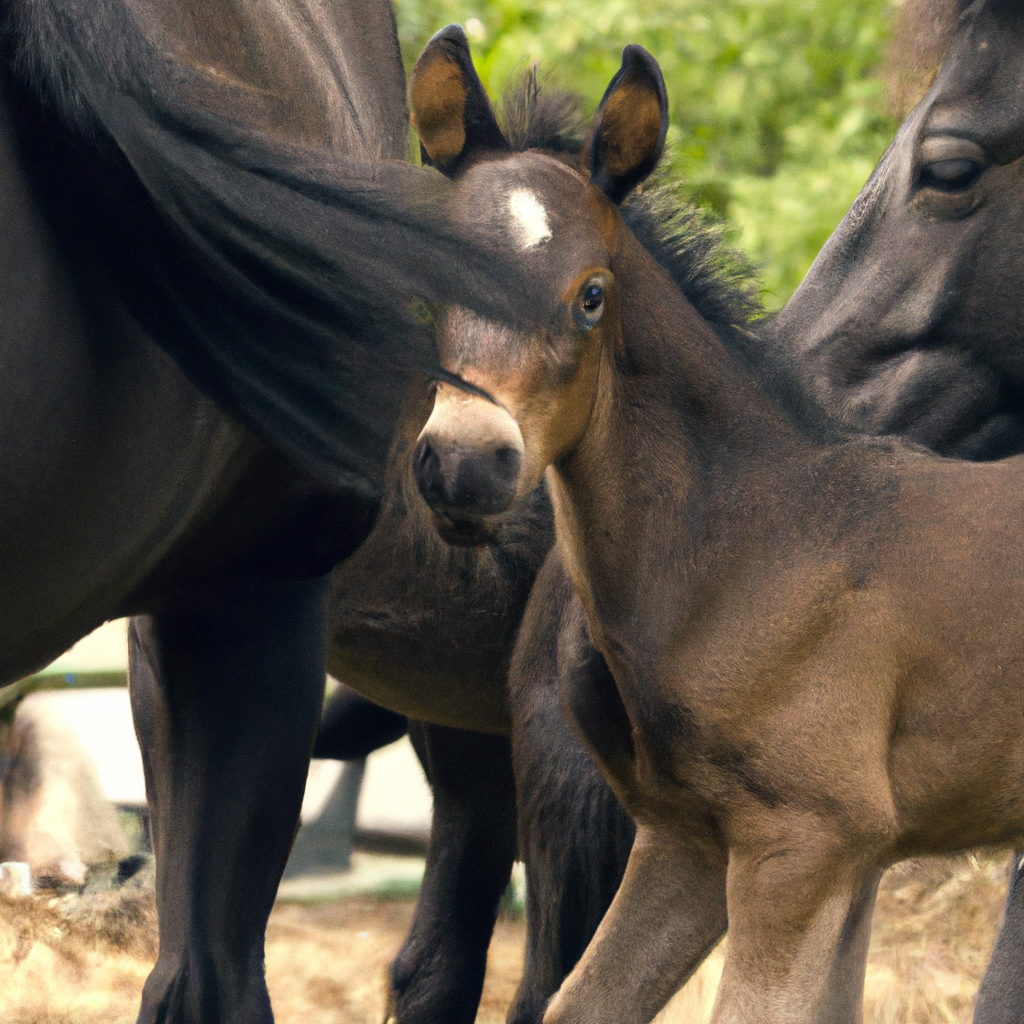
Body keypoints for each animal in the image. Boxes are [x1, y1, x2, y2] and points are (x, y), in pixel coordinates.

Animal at [409, 36, 1024, 1024]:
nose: (466, 465)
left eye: (591, 296)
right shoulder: (688, 844)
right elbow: (578, 1003)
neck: (746, 548)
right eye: (431, 290)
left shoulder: (806, 848)